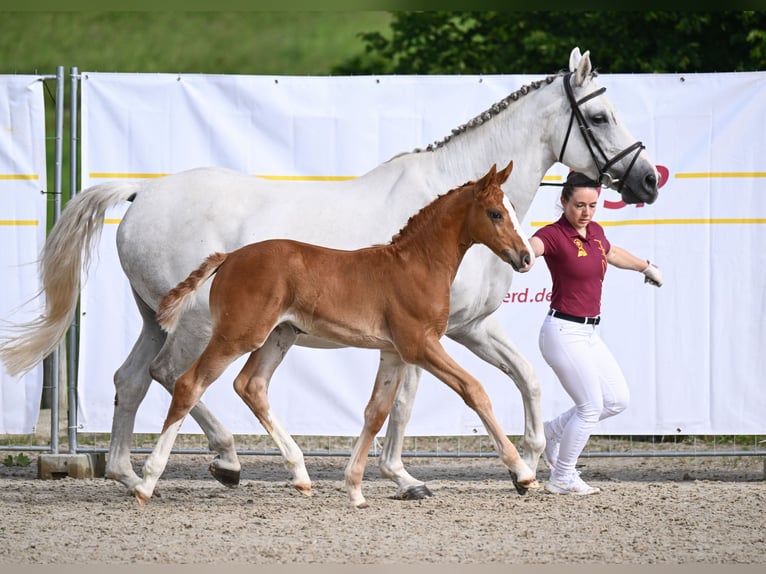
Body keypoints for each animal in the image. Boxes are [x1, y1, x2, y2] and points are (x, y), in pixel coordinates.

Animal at [135, 162, 536, 508]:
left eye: (513, 209)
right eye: (496, 214)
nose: (526, 257)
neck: (416, 265)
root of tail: (229, 257)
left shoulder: (394, 353)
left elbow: (376, 412)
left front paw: (355, 490)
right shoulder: (420, 344)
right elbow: (474, 390)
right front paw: (522, 474)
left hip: (279, 336)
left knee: (251, 386)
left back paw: (300, 476)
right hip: (237, 335)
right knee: (189, 384)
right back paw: (146, 482)